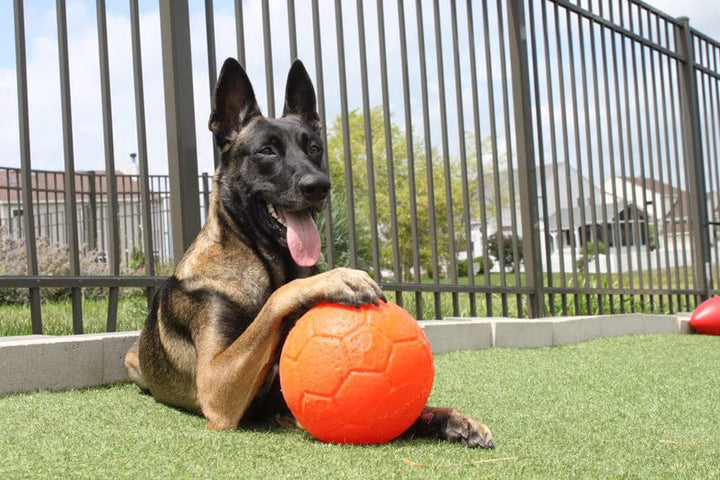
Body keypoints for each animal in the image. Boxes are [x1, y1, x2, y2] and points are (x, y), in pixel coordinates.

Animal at [125, 58, 496, 448]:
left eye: (314, 148)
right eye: (267, 150)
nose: (318, 186)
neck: (270, 266)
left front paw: (451, 418)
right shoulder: (216, 383)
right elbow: (280, 299)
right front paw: (341, 277)